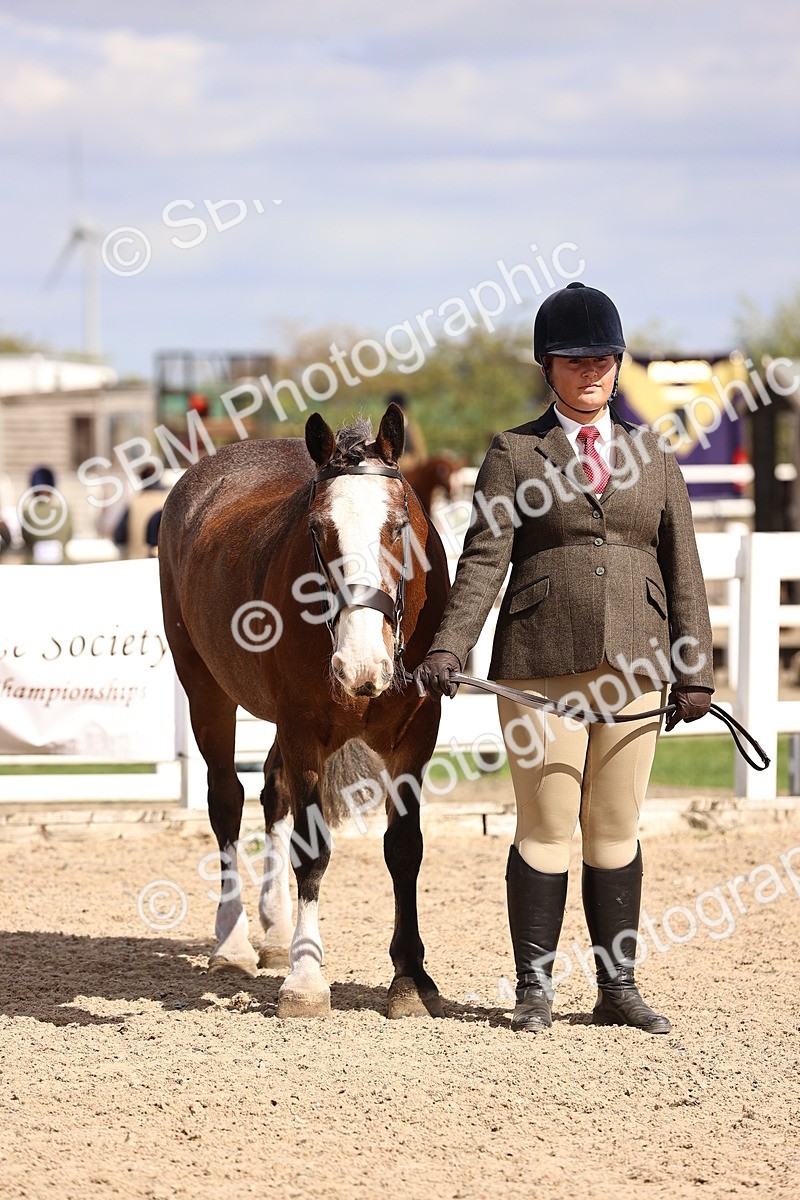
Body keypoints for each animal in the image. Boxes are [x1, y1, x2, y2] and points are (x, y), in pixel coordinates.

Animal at [158, 403, 450, 1019]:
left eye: (400, 526)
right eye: (317, 530)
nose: (361, 665)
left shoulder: (416, 736)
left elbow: (404, 848)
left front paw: (410, 978)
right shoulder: (304, 732)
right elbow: (311, 852)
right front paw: (307, 978)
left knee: (273, 792)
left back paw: (274, 930)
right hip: (206, 691)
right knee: (227, 801)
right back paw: (233, 942)